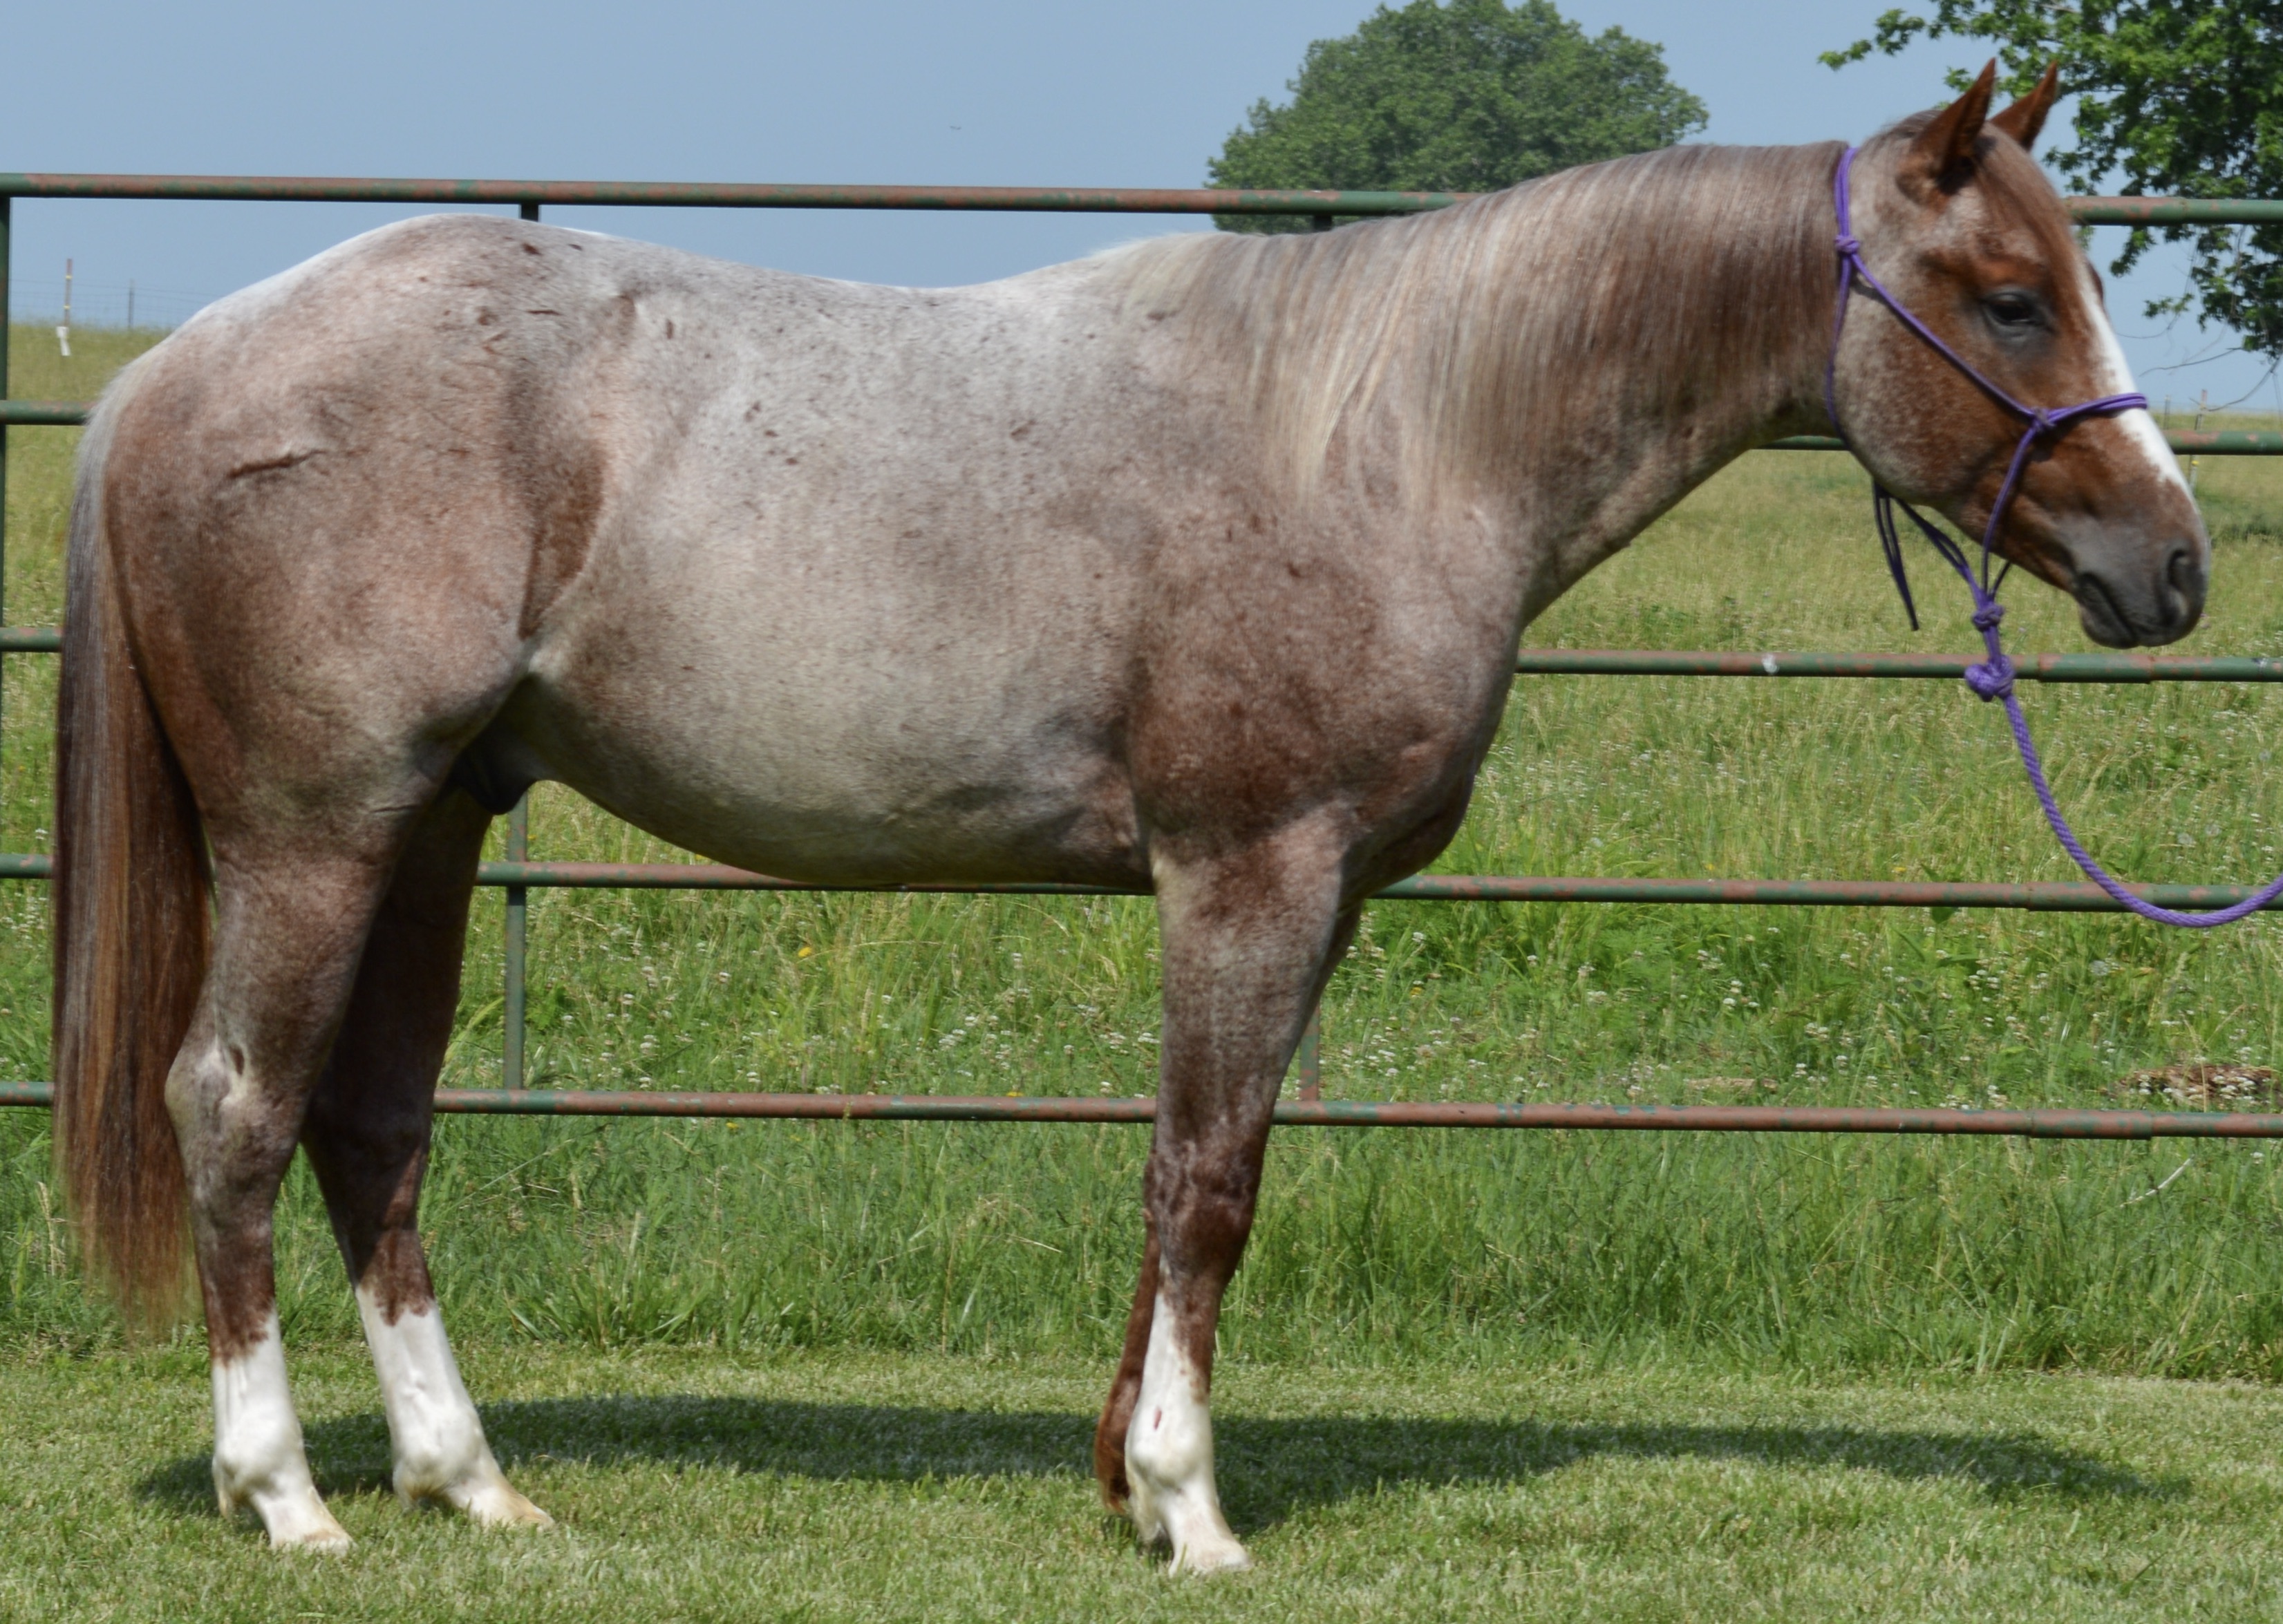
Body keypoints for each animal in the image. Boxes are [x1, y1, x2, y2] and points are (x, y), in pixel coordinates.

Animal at [53, 64, 2204, 1571]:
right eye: (2007, 300)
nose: (2171, 568)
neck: (1389, 439)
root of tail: (176, 366)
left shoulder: (1297, 893)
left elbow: (1191, 1168)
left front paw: (1121, 1471)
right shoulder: (1248, 872)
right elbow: (1210, 1180)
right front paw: (1189, 1502)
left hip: (430, 825)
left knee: (370, 1129)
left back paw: (467, 1479)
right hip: (319, 834)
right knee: (233, 1105)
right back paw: (288, 1493)